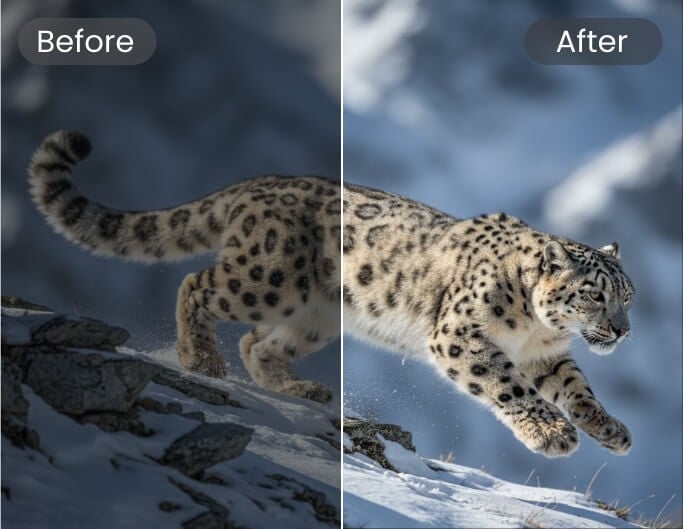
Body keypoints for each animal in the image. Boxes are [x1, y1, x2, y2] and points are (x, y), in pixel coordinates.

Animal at [28, 130, 341, 403]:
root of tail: (264, 180)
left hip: (316, 312)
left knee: (257, 342)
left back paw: (299, 387)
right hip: (269, 278)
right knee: (196, 287)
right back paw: (202, 359)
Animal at [343, 182, 634, 457]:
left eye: (628, 296)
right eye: (595, 294)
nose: (622, 331)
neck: (534, 329)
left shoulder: (542, 353)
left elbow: (574, 383)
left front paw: (609, 428)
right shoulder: (458, 334)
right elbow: (509, 383)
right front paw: (551, 431)